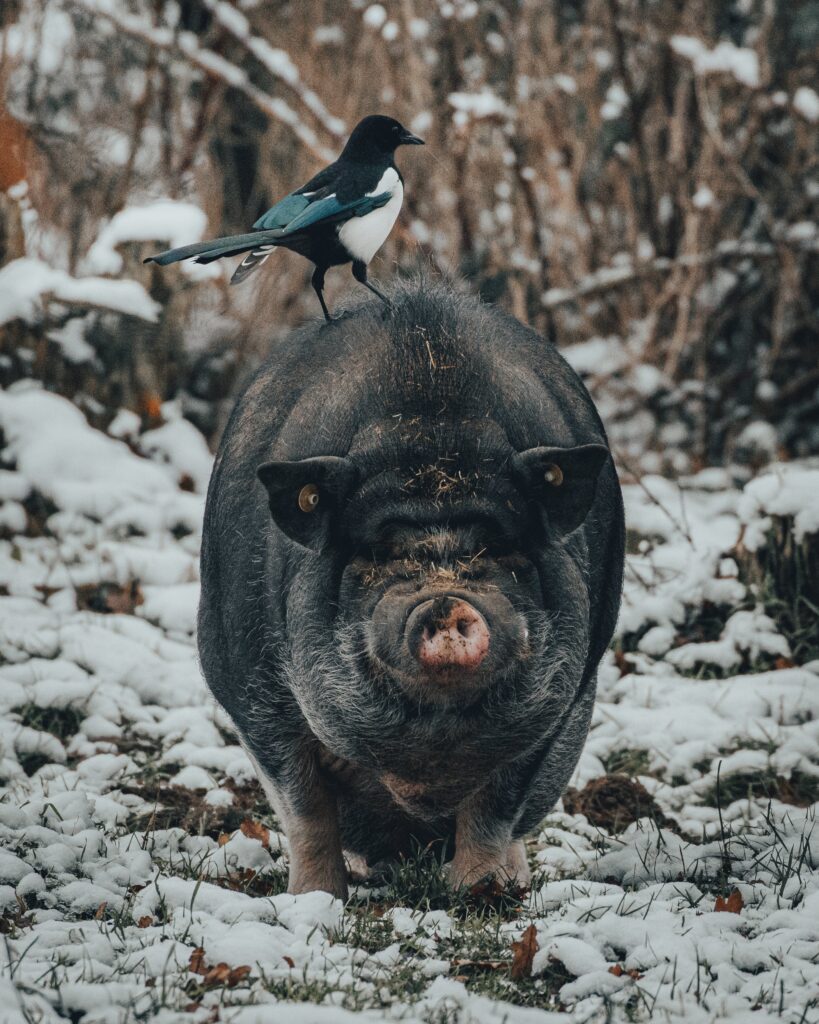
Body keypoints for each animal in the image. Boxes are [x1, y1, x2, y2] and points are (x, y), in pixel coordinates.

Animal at [198, 280, 624, 898]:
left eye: (499, 548)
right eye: (378, 552)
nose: (446, 601)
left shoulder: (559, 708)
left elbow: (497, 807)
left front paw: (481, 892)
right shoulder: (252, 688)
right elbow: (304, 806)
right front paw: (313, 899)